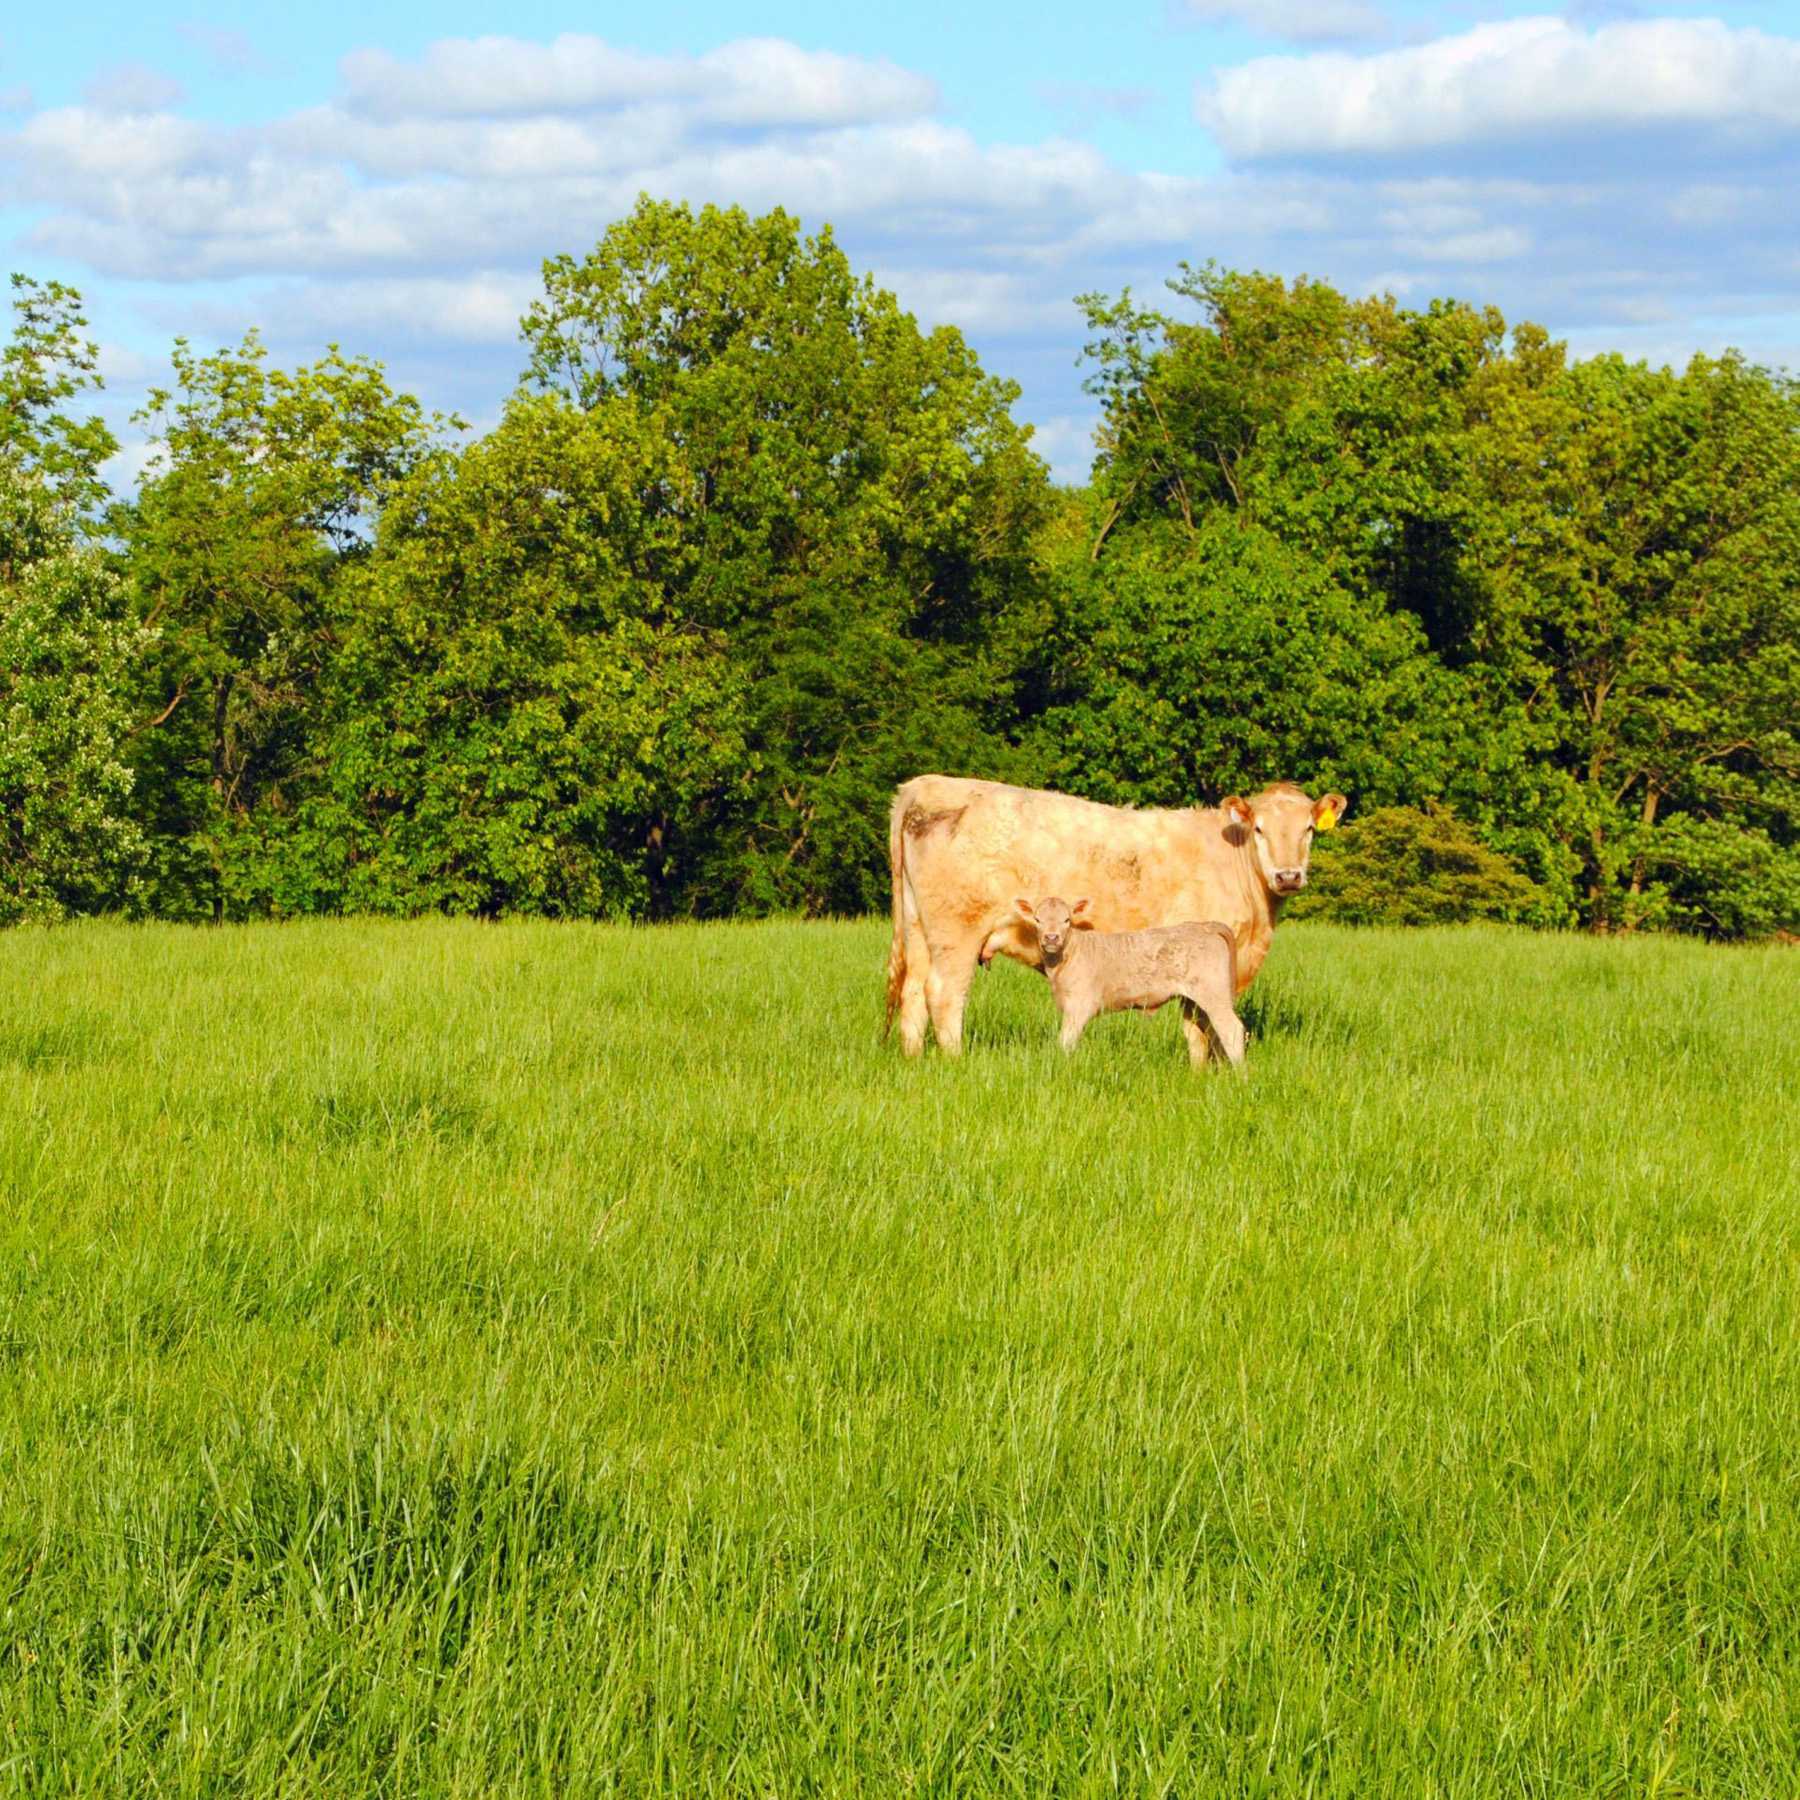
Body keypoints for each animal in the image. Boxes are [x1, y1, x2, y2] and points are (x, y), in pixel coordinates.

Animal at [1015, 892, 1252, 1058]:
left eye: (1067, 920)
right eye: (1037, 920)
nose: (1051, 938)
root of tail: (1205, 926)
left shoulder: (1080, 1005)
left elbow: (1066, 1041)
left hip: (1214, 994)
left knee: (1231, 1029)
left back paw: (1241, 1078)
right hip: (1194, 1001)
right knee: (1208, 1032)